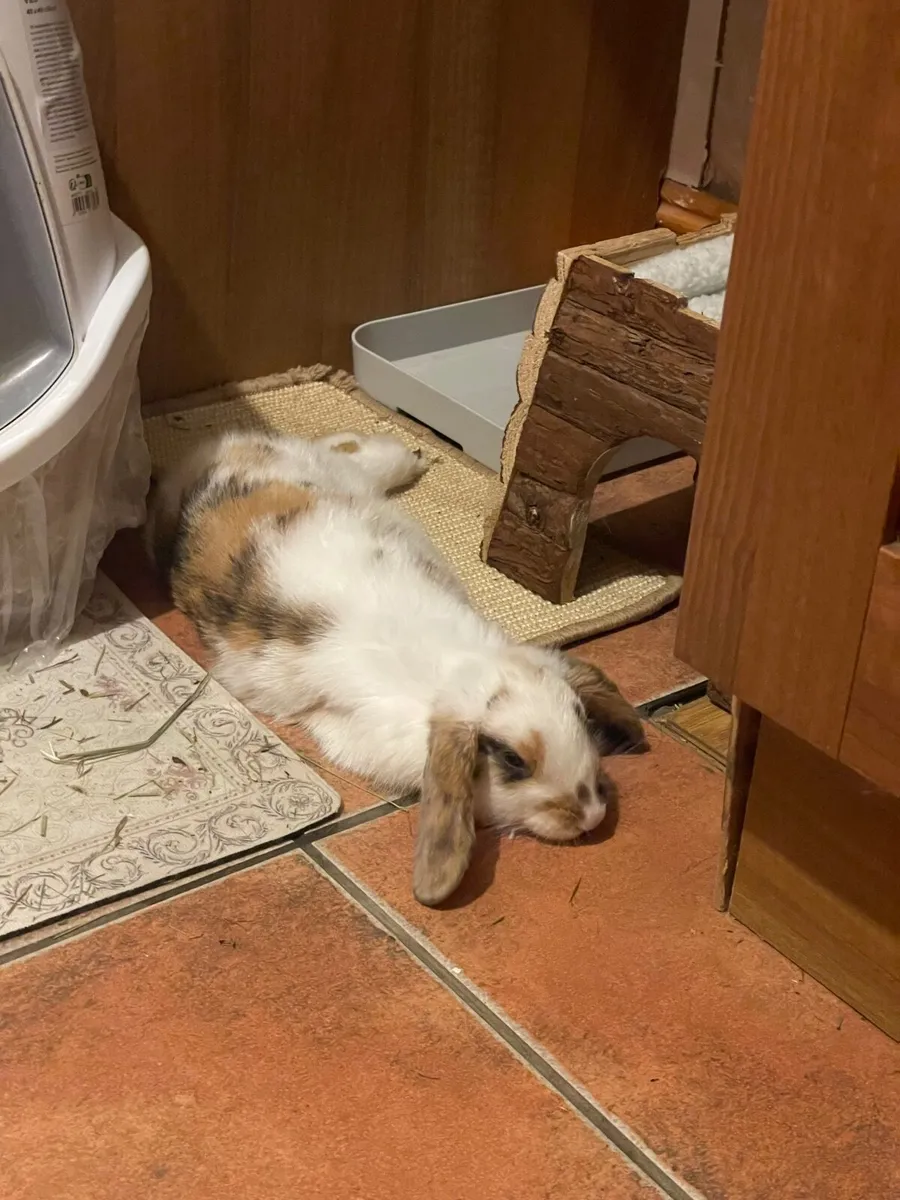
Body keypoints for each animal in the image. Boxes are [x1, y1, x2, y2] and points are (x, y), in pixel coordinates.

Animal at [147, 429, 648, 905]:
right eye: (511, 759)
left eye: (581, 717)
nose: (591, 815)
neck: (455, 665)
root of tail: (221, 449)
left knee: (344, 447)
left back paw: (412, 457)